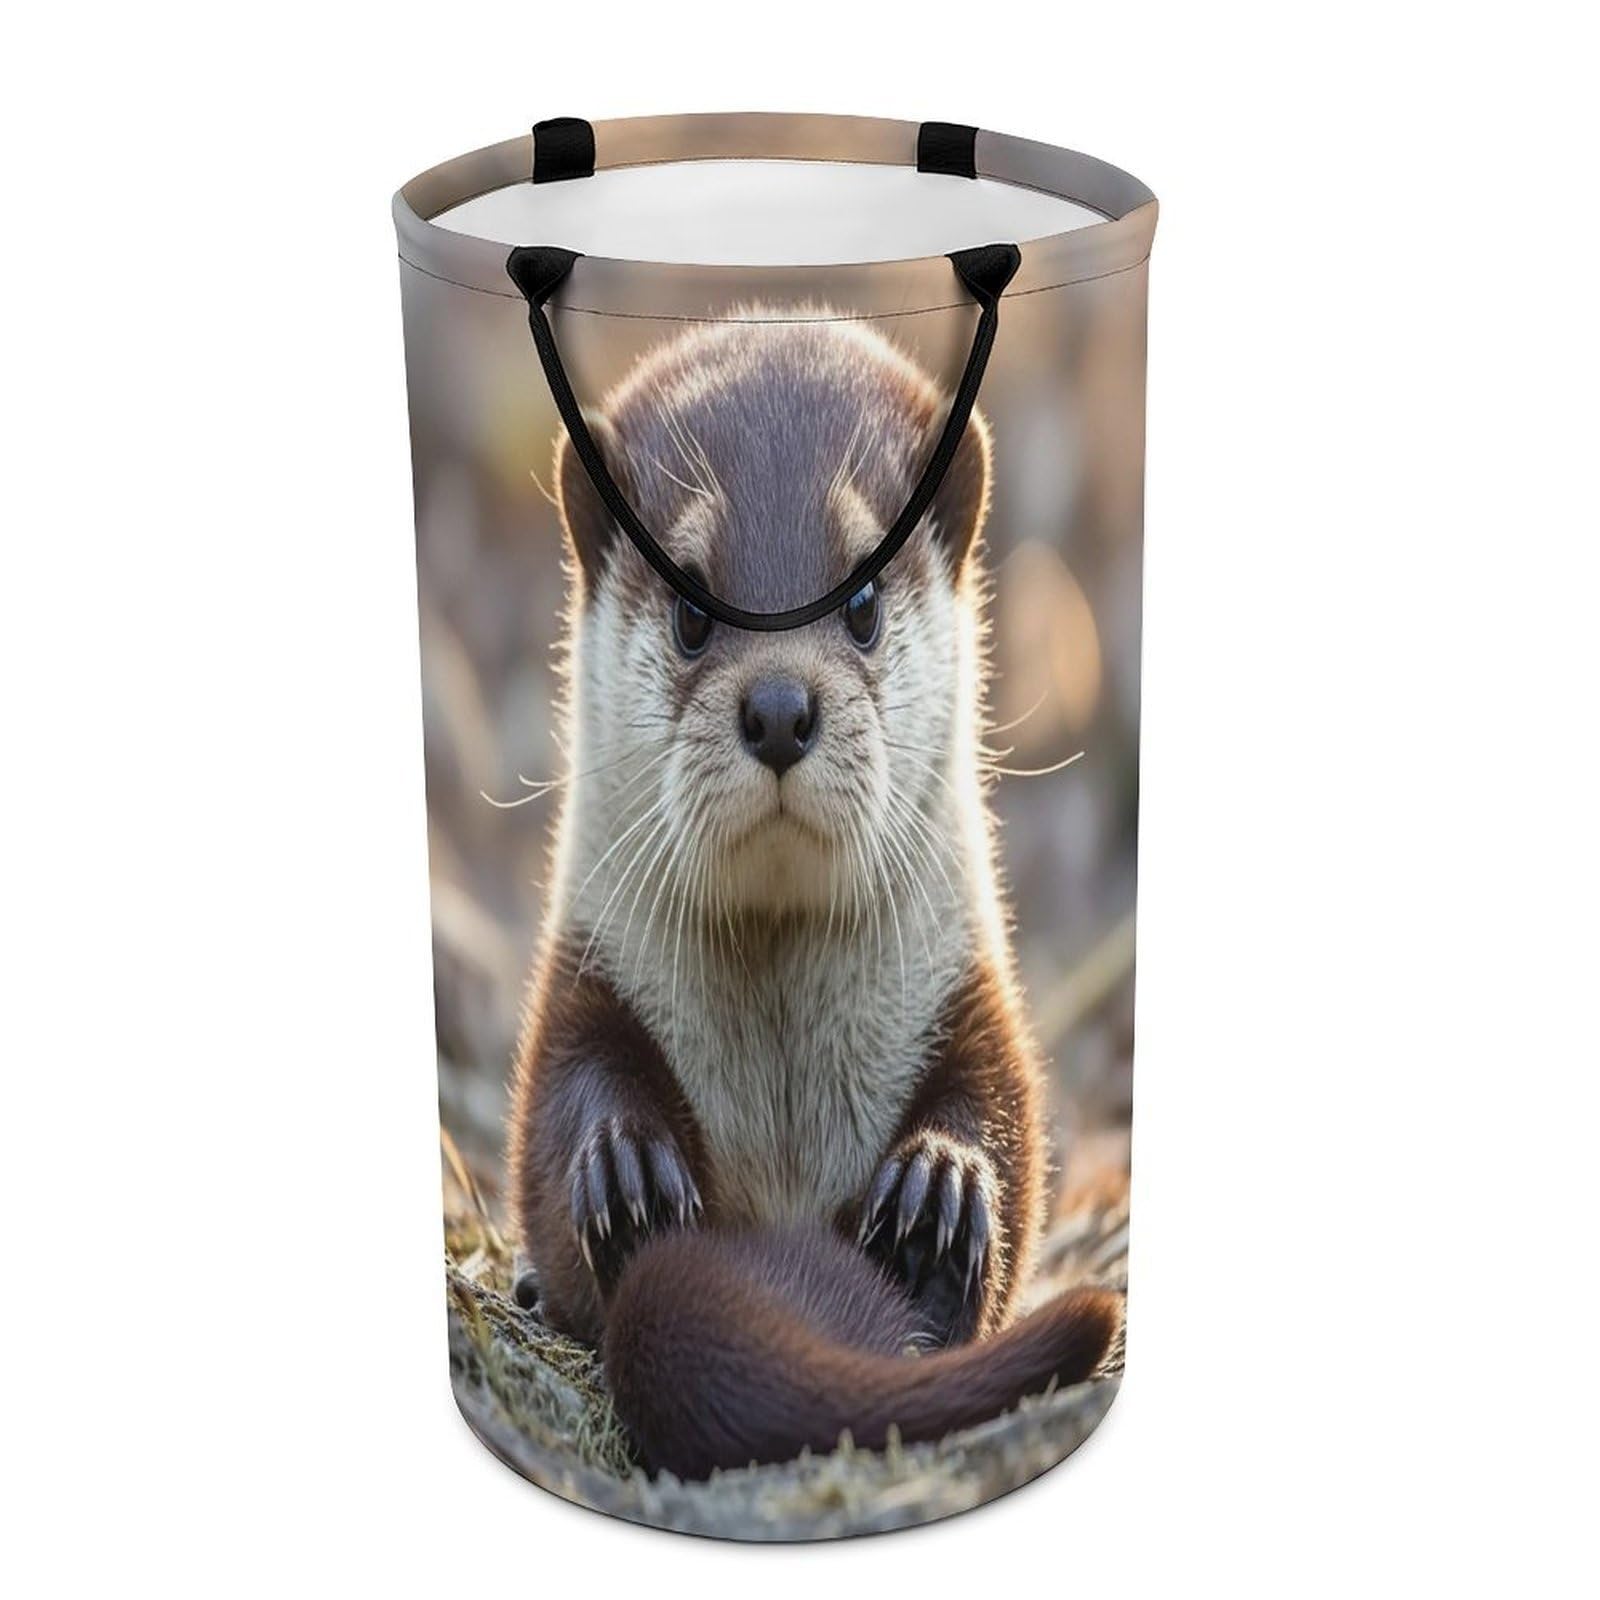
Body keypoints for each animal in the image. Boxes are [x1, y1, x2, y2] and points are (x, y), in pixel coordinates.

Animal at [505, 311, 1119, 1480]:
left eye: (864, 600)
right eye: (692, 608)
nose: (782, 706)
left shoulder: (968, 988)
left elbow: (1004, 1114)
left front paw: (941, 1190)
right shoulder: (582, 973)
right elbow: (562, 1111)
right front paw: (623, 1168)